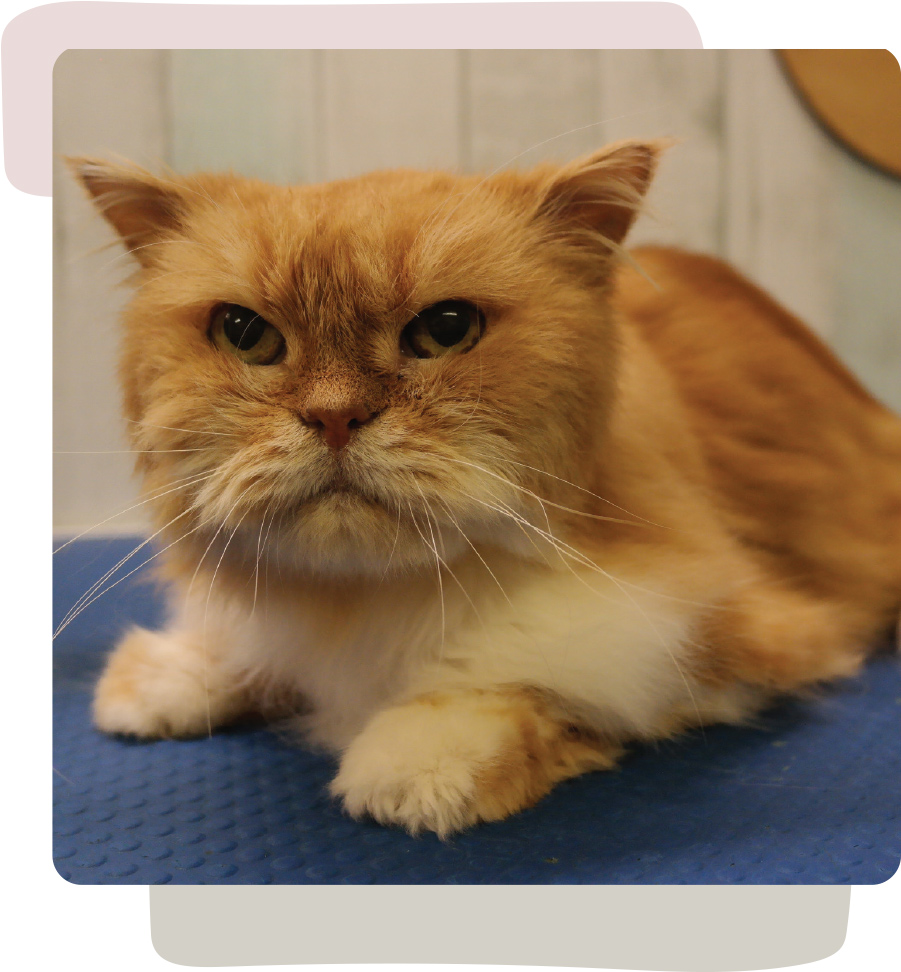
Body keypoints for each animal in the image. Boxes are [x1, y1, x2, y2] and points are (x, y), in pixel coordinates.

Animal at [68, 142, 900, 836]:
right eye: (245, 334)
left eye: (445, 328)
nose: (335, 416)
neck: (359, 602)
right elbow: (238, 655)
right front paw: (164, 681)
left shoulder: (746, 636)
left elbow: (531, 690)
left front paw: (417, 764)